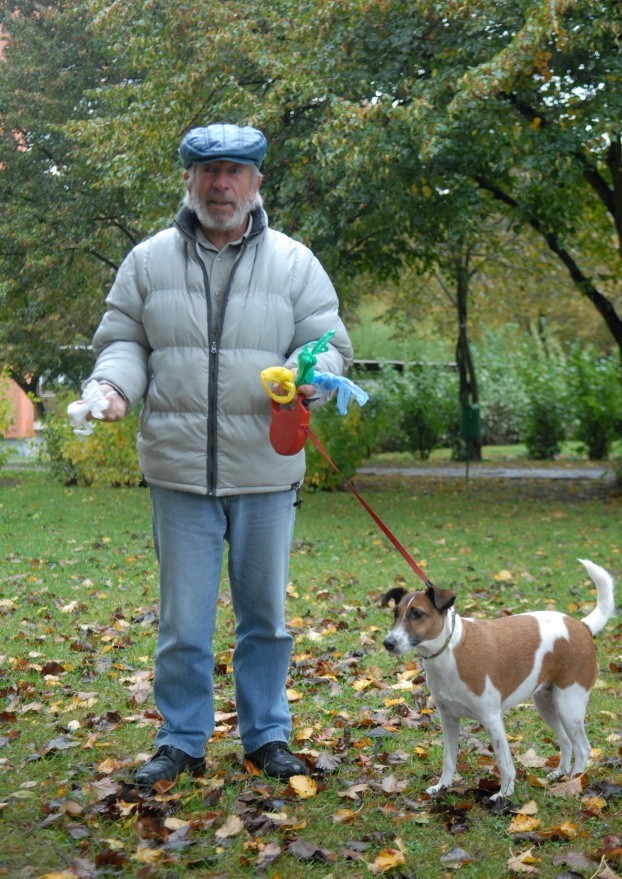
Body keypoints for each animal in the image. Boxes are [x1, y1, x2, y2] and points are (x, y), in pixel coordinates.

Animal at [382, 560, 616, 800]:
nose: (388, 643)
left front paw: (504, 793)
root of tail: (581, 626)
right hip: (547, 703)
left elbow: (504, 762)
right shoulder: (448, 719)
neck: (450, 649)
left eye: (417, 614)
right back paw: (560, 774)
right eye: (395, 614)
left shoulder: (492, 718)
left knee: (583, 747)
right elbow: (449, 759)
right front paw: (442, 787)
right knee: (567, 741)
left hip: (569, 705)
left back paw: (574, 781)